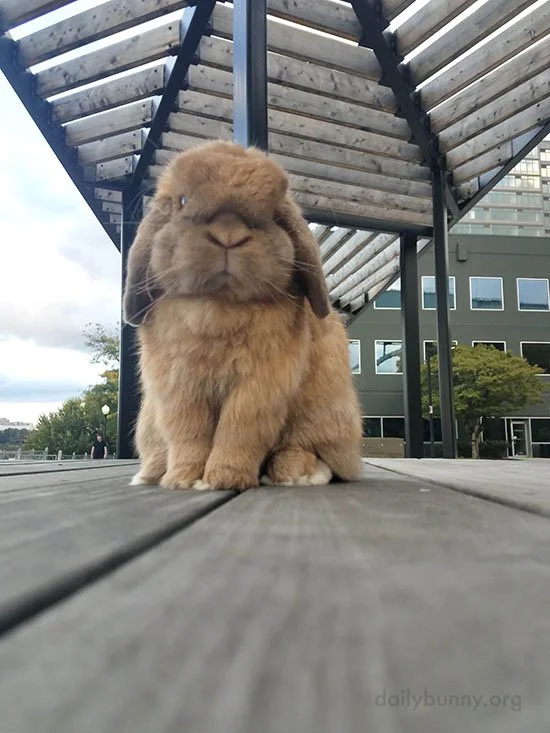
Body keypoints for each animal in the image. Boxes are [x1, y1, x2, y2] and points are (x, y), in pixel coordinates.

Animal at [124, 140, 363, 491]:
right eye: (183, 201)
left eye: (272, 213)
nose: (229, 234)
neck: (219, 306)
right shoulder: (179, 388)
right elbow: (189, 434)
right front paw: (182, 479)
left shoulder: (261, 386)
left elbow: (239, 430)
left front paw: (225, 479)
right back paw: (152, 472)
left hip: (325, 412)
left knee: (309, 450)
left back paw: (296, 473)